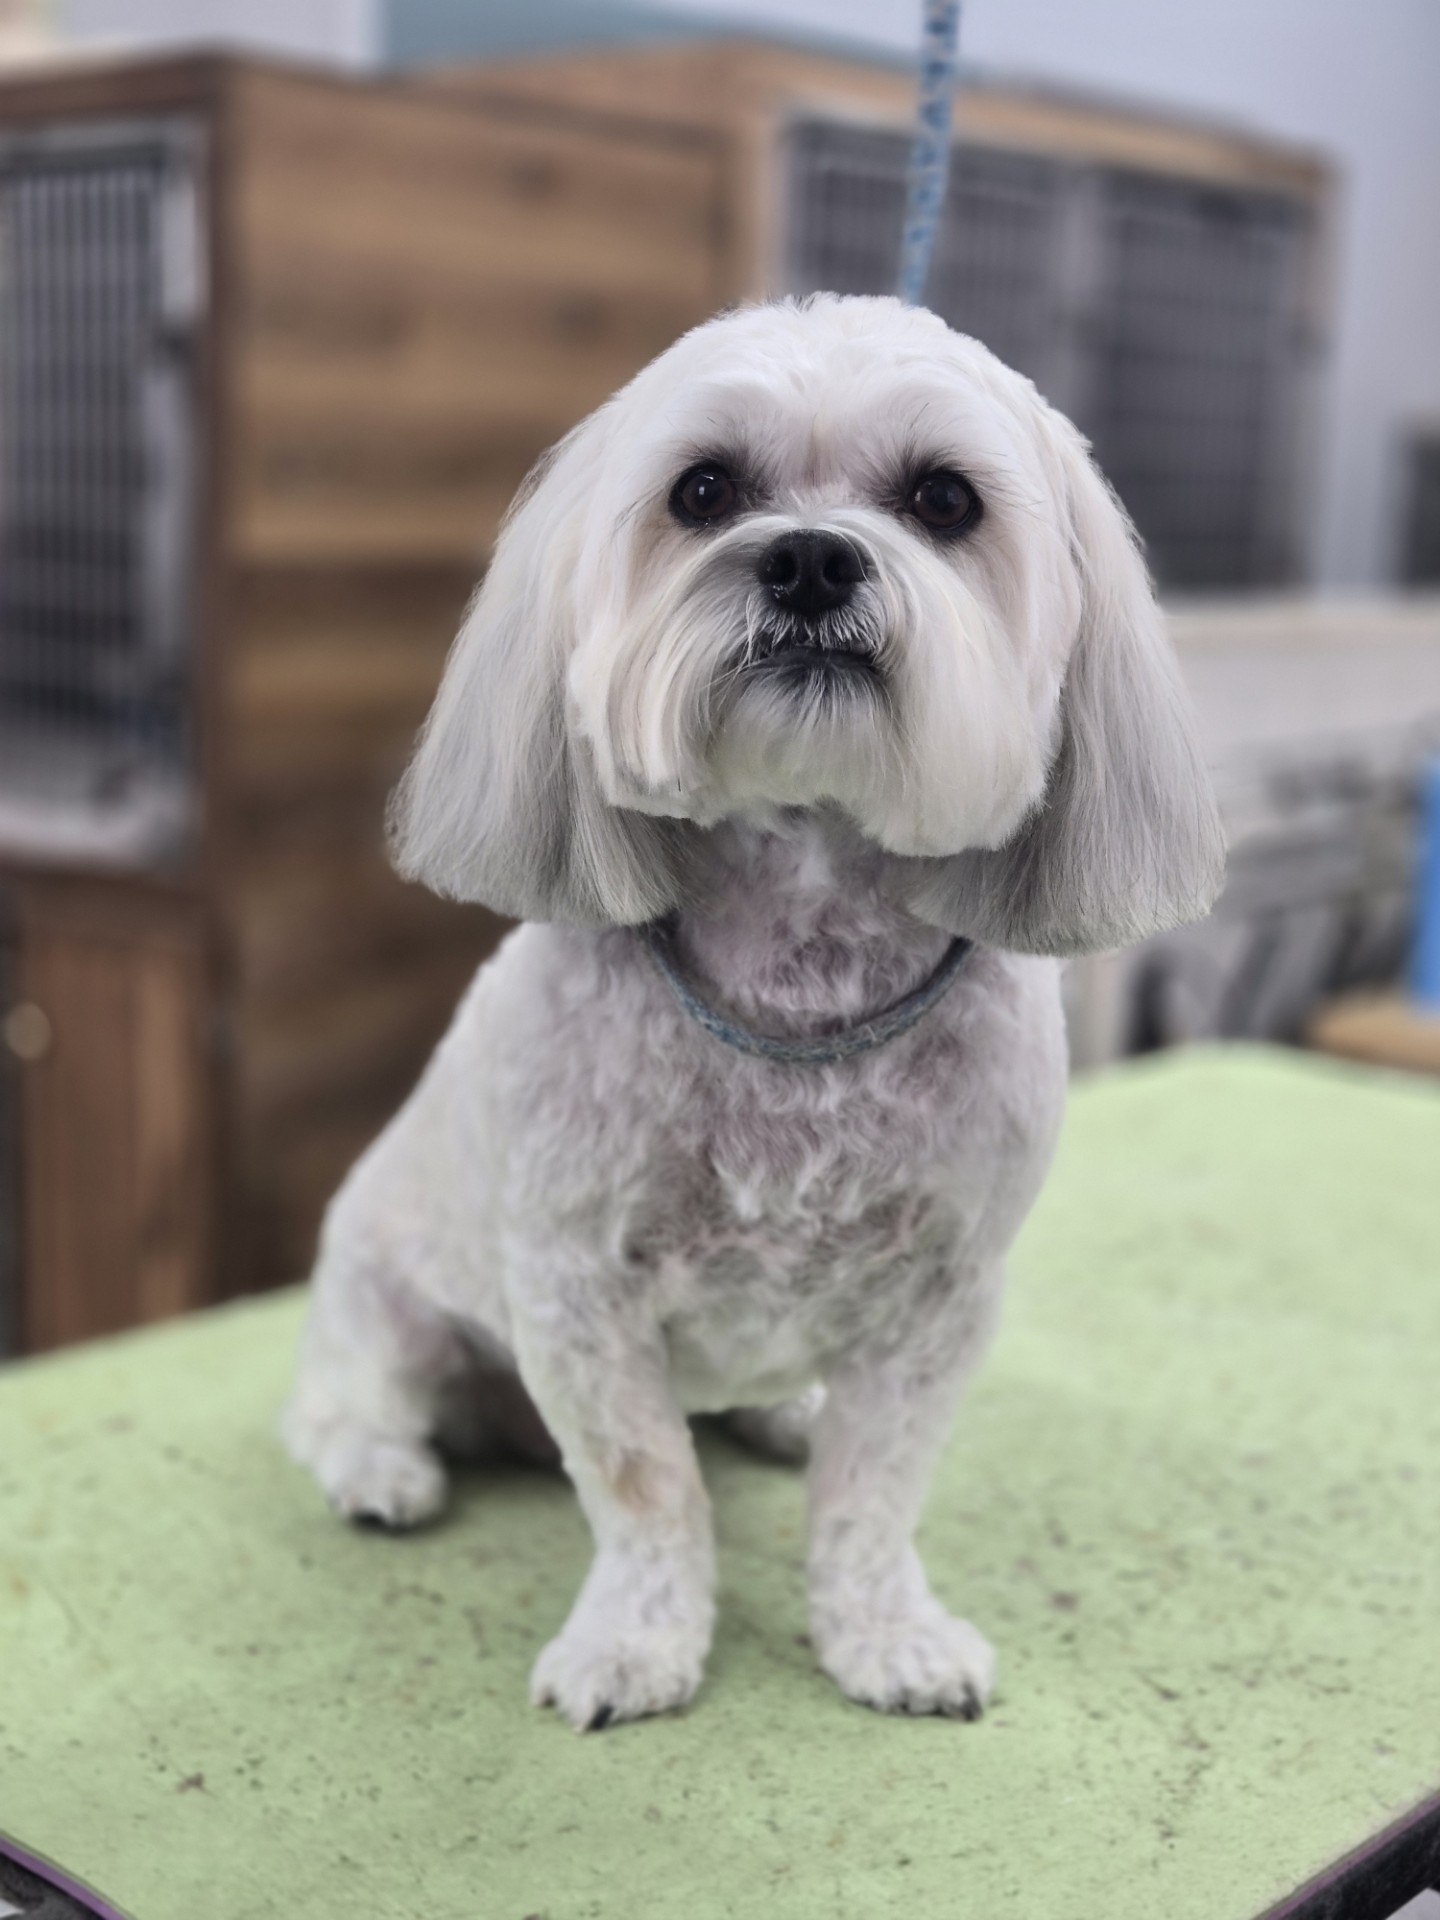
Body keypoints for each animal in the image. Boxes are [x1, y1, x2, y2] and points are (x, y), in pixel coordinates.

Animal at [283, 293, 1223, 1730]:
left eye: (944, 500)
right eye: (705, 491)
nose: (811, 561)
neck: (801, 976)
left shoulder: (941, 1298)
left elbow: (873, 1493)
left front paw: (886, 1634)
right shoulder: (577, 1293)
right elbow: (647, 1490)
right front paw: (637, 1645)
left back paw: (784, 1416)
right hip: (385, 1300)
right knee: (340, 1404)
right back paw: (383, 1471)